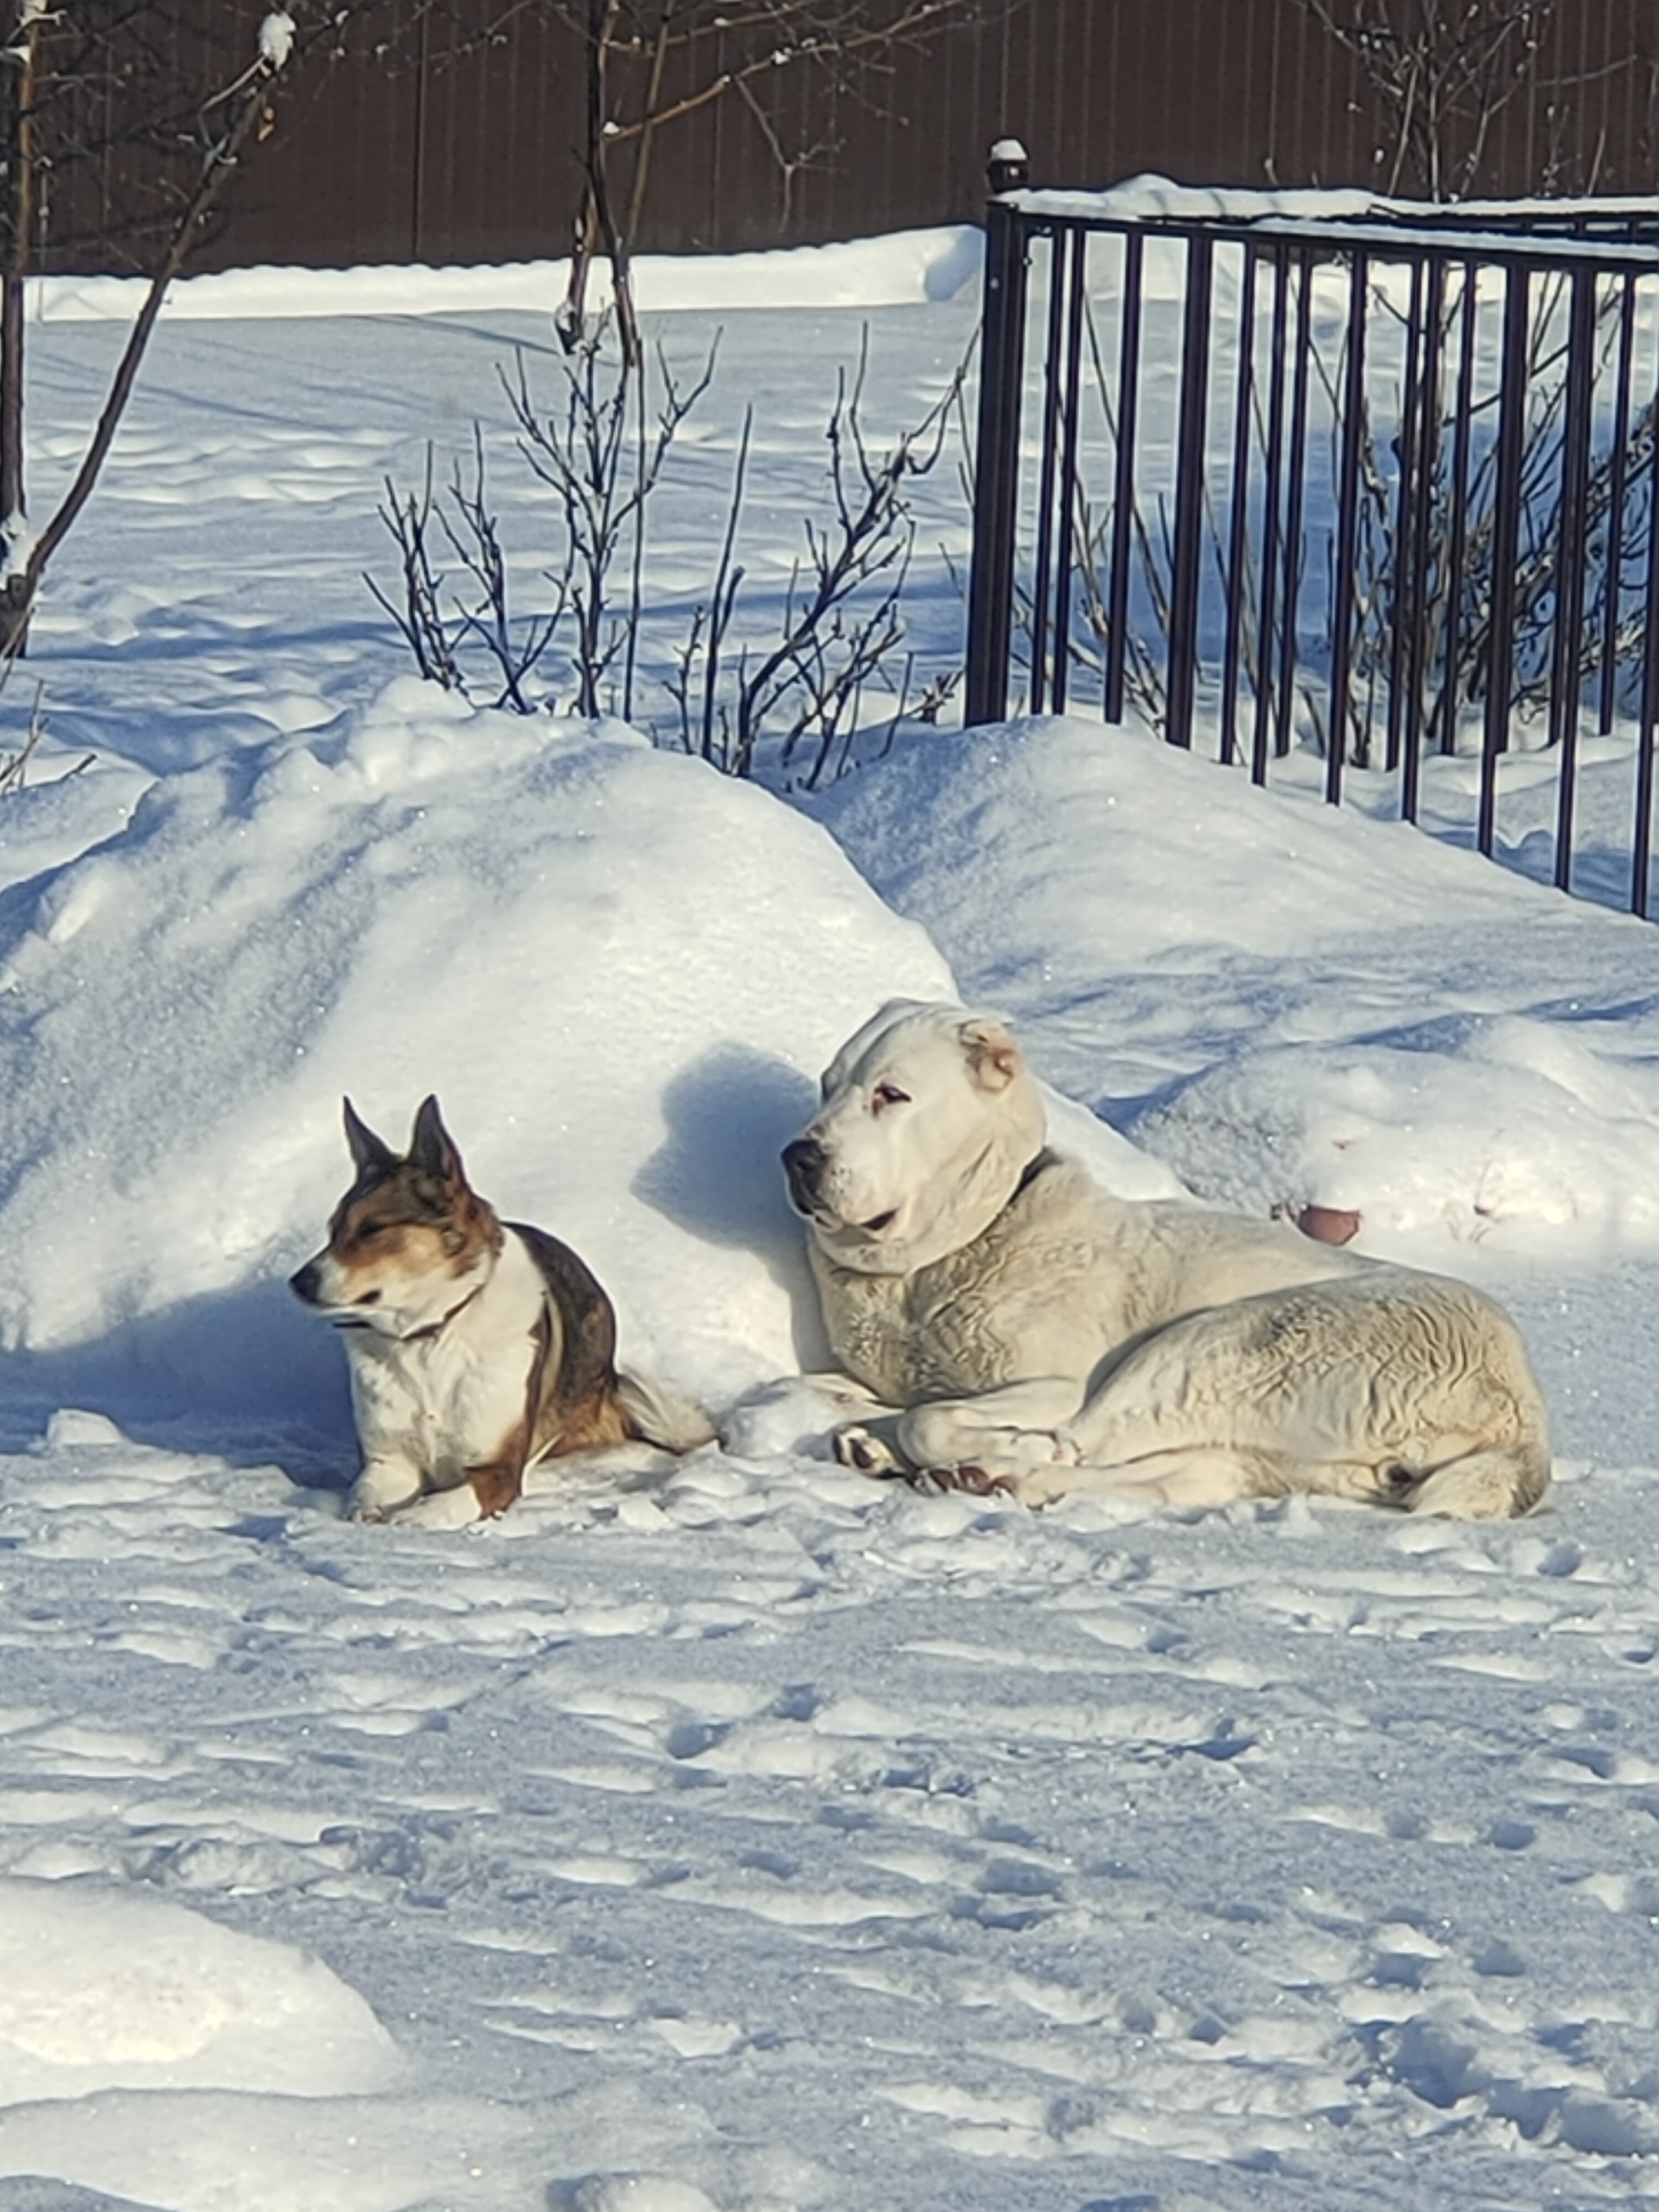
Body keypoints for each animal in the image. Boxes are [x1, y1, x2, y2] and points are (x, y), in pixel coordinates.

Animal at [291, 1096, 708, 1530]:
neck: (430, 1336)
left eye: (373, 1228)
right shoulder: (388, 1463)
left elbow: (440, 1506)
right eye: (333, 1230)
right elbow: (363, 1498)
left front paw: (409, 1524)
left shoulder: (498, 1470)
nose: (299, 1282)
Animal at [787, 1008, 1557, 1513]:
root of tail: (1524, 1416)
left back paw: (994, 1463)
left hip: (1211, 1344)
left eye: (891, 1095)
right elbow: (863, 1394)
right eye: (827, 1086)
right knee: (1158, 1476)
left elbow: (934, 1417)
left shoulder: (1057, 1383)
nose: (799, 1155)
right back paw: (991, 1477)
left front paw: (927, 1437)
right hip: (1253, 1448)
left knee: (1086, 1441)